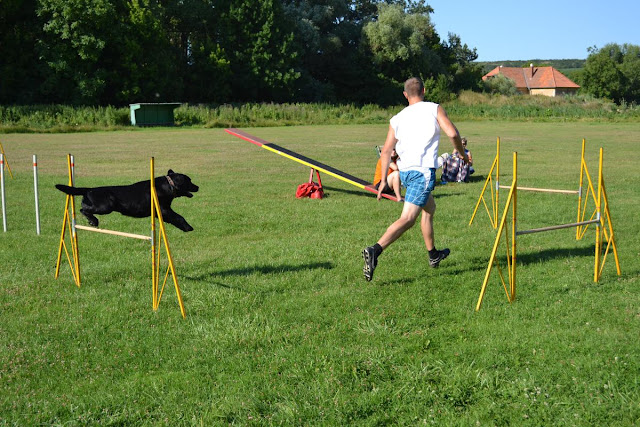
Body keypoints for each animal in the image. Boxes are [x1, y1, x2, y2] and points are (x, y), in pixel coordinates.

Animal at [56, 170, 199, 231]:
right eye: (189, 181)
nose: (198, 187)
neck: (168, 185)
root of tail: (89, 190)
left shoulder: (161, 213)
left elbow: (174, 219)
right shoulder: (164, 209)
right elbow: (179, 217)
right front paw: (188, 227)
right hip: (105, 207)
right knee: (83, 209)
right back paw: (93, 221)